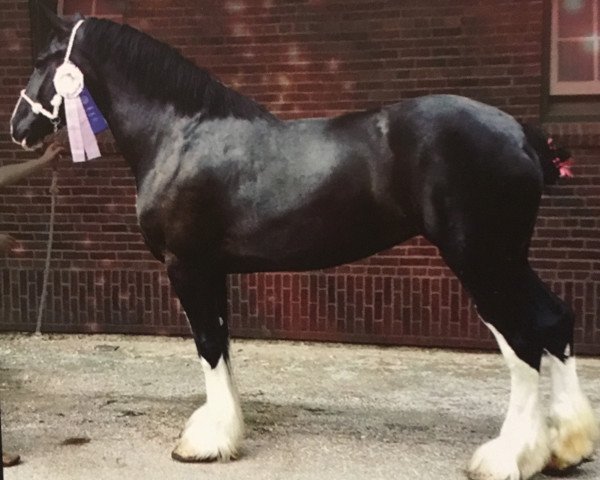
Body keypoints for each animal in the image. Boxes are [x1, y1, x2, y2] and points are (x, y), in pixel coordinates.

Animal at [10, 12, 600, 480]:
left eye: (43, 61)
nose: (19, 128)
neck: (181, 133)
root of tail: (522, 134)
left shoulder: (188, 267)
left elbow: (208, 345)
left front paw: (206, 443)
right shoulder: (212, 270)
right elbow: (222, 346)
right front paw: (224, 432)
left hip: (482, 258)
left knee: (523, 338)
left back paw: (506, 457)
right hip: (506, 258)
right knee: (554, 321)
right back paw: (566, 448)